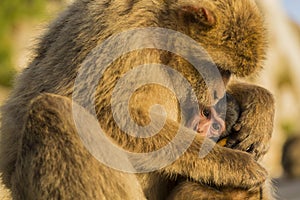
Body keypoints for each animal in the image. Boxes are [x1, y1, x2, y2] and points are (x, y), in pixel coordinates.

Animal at [0, 0, 274, 200]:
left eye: (226, 73)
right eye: (219, 69)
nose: (217, 93)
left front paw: (259, 103)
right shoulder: (124, 41)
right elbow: (109, 119)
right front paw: (233, 163)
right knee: (55, 109)